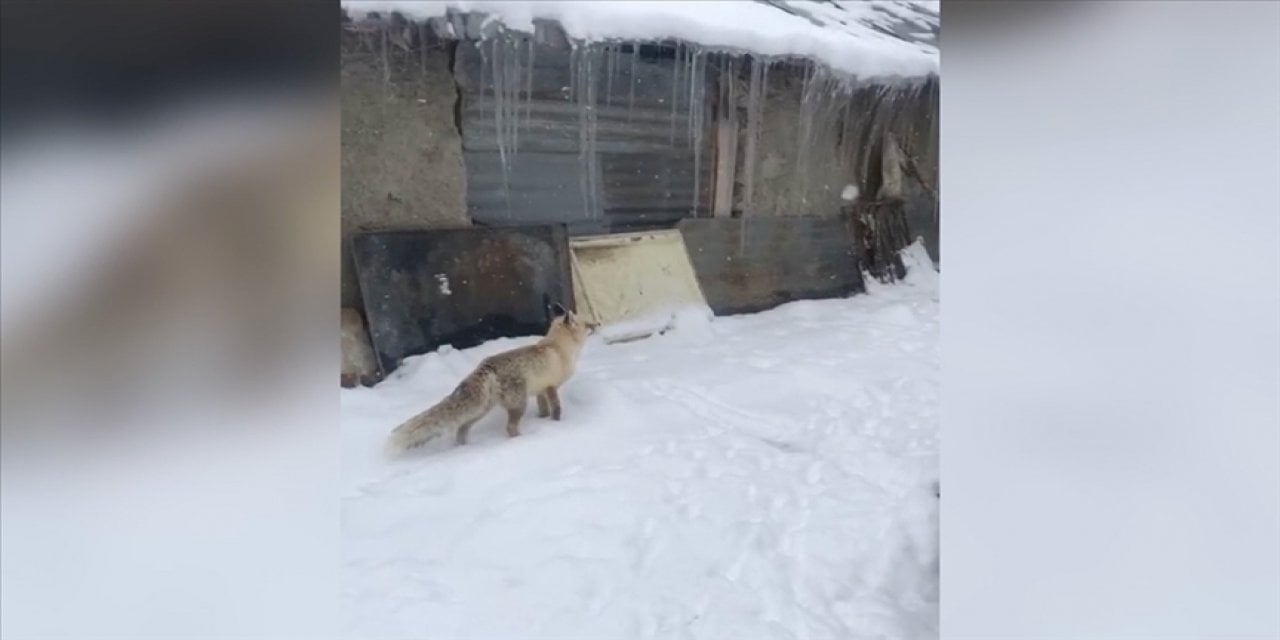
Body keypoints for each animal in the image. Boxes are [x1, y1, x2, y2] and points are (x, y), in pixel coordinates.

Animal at [384, 304, 593, 455]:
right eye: (587, 324)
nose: (596, 324)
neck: (558, 348)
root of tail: (485, 365)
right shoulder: (551, 387)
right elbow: (556, 410)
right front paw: (557, 425)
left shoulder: (540, 390)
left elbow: (543, 410)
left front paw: (543, 420)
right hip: (517, 404)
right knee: (509, 427)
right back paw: (521, 441)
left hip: (481, 410)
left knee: (461, 428)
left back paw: (464, 448)